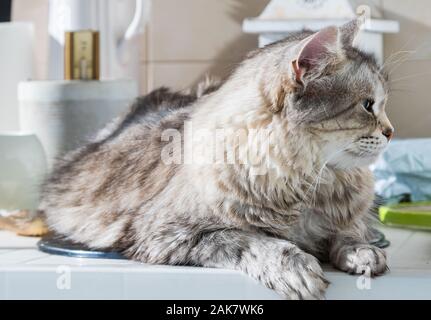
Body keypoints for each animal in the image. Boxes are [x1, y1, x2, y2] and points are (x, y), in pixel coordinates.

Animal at [40, 19, 394, 300]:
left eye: (381, 104)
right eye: (368, 105)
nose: (391, 131)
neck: (307, 184)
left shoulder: (346, 218)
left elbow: (350, 233)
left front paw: (364, 253)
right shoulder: (169, 234)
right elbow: (251, 239)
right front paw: (294, 266)